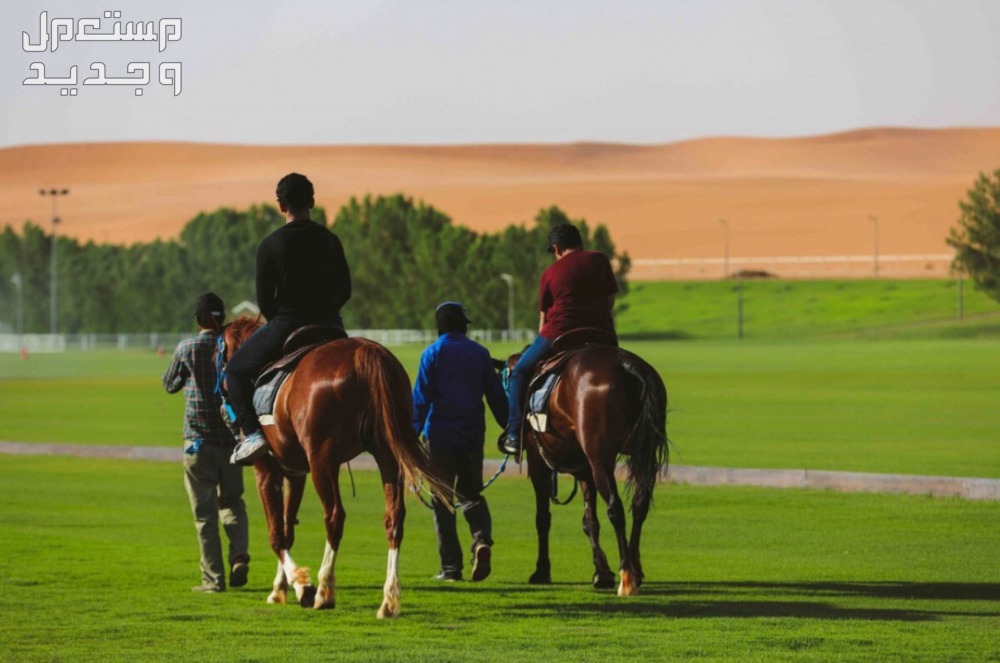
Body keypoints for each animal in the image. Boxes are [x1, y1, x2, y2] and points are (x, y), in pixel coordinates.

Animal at [227, 320, 450, 620]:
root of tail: (365, 352)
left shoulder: (266, 470)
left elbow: (276, 533)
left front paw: (301, 585)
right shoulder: (295, 473)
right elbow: (287, 529)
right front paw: (280, 587)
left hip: (323, 462)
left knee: (334, 517)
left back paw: (324, 591)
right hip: (387, 455)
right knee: (393, 518)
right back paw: (389, 600)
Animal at [512, 342, 668, 596]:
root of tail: (625, 364)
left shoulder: (537, 463)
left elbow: (543, 518)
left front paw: (542, 571)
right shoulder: (585, 470)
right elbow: (589, 520)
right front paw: (601, 571)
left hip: (600, 460)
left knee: (616, 508)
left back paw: (627, 576)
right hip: (643, 455)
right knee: (639, 505)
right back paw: (635, 569)